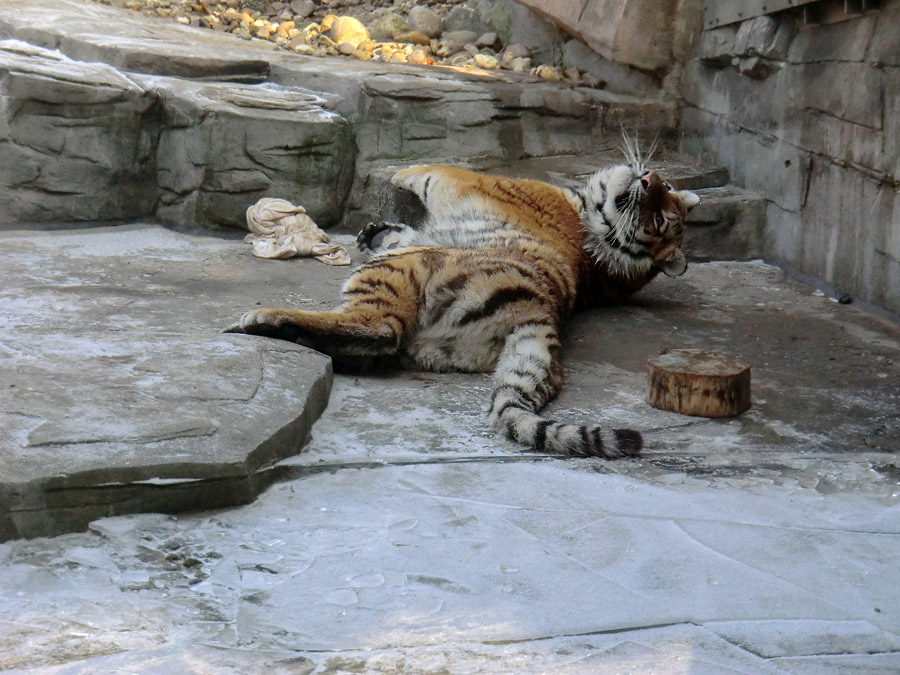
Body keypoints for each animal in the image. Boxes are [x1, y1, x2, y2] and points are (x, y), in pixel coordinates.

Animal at [227, 155, 704, 460]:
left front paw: (398, 177)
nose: (648, 177)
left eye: (659, 214)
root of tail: (543, 316)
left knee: (380, 329)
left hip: (400, 270)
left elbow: (426, 171)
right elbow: (402, 228)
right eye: (663, 194)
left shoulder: (460, 181)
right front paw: (375, 230)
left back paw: (264, 321)